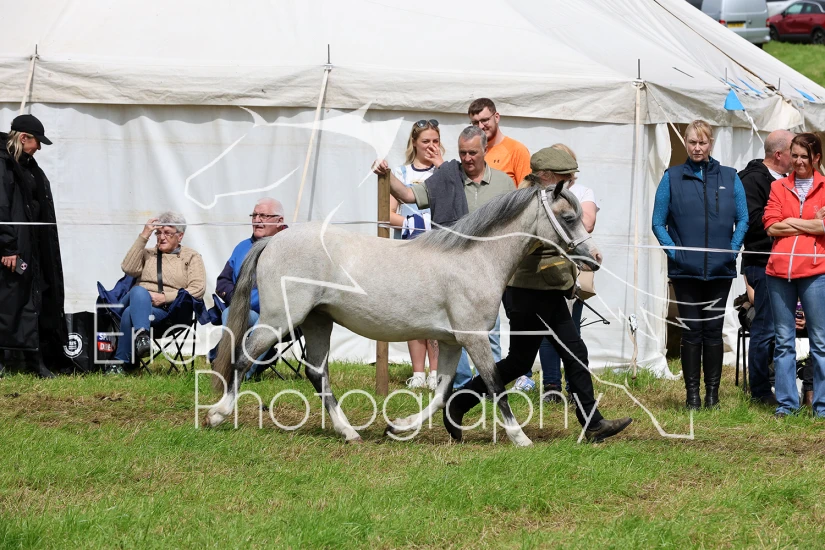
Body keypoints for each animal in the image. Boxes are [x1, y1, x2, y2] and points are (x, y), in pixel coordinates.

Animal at [206, 182, 602, 446]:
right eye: (568, 216)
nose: (595, 258)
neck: (474, 259)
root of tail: (272, 240)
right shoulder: (473, 337)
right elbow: (494, 386)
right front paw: (521, 438)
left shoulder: (451, 341)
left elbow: (442, 393)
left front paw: (398, 426)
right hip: (280, 319)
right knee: (244, 357)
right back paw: (217, 414)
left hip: (318, 321)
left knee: (317, 373)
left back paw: (349, 432)